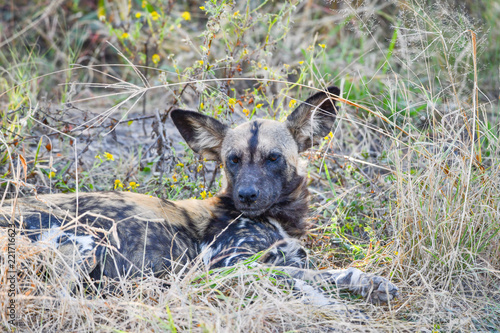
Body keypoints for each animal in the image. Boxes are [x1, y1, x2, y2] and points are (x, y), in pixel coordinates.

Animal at [0, 87, 398, 304]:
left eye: (273, 158)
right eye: (232, 160)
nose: (246, 195)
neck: (278, 221)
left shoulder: (286, 258)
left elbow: (315, 272)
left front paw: (367, 284)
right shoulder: (231, 267)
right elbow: (311, 277)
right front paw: (352, 291)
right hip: (83, 246)